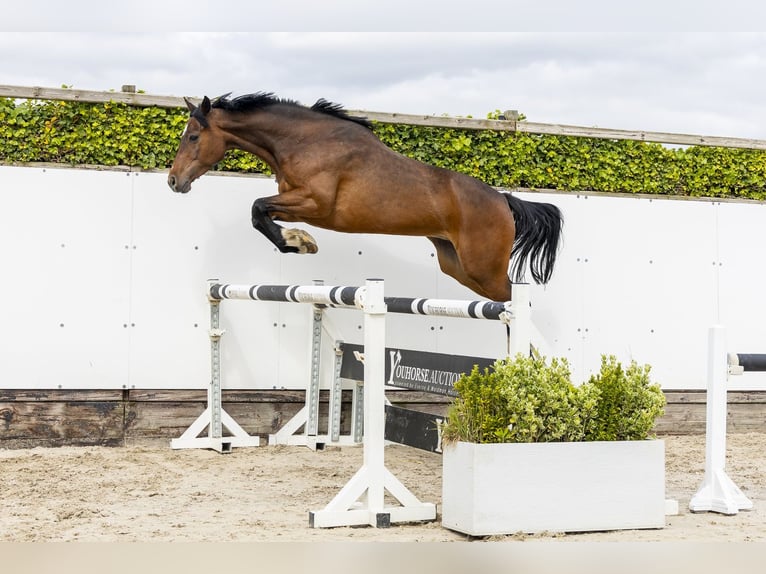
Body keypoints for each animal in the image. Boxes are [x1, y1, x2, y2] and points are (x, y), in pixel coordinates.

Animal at [167, 92, 562, 302]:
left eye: (193, 137)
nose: (173, 181)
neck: (303, 142)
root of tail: (504, 200)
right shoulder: (297, 203)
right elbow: (262, 214)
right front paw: (298, 240)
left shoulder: (316, 204)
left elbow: (257, 207)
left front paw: (300, 243)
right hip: (458, 266)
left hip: (484, 268)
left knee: (516, 302)